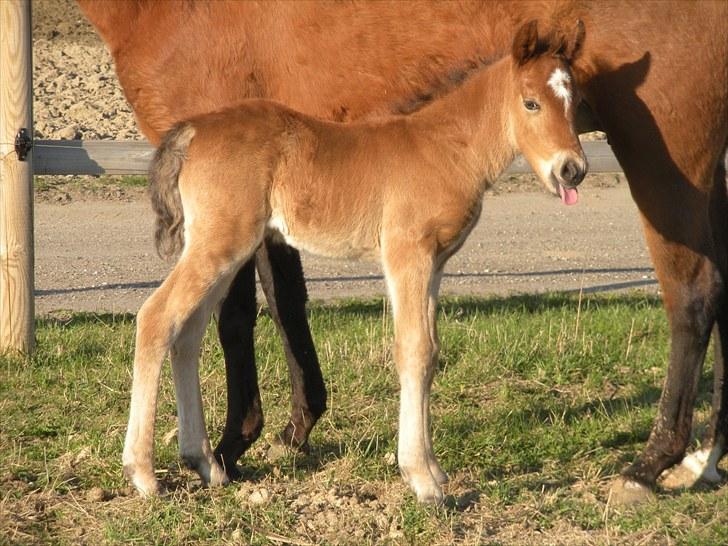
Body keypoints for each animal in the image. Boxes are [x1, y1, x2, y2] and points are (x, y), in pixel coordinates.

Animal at [123, 22, 584, 502]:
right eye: (531, 102)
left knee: (186, 333)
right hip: (221, 244)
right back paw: (143, 473)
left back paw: (205, 462)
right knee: (156, 318)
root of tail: (192, 129)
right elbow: (414, 350)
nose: (572, 170)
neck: (444, 148)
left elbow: (432, 351)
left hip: (224, 250)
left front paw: (435, 470)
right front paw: (422, 479)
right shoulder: (407, 255)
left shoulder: (435, 264)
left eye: (575, 100)